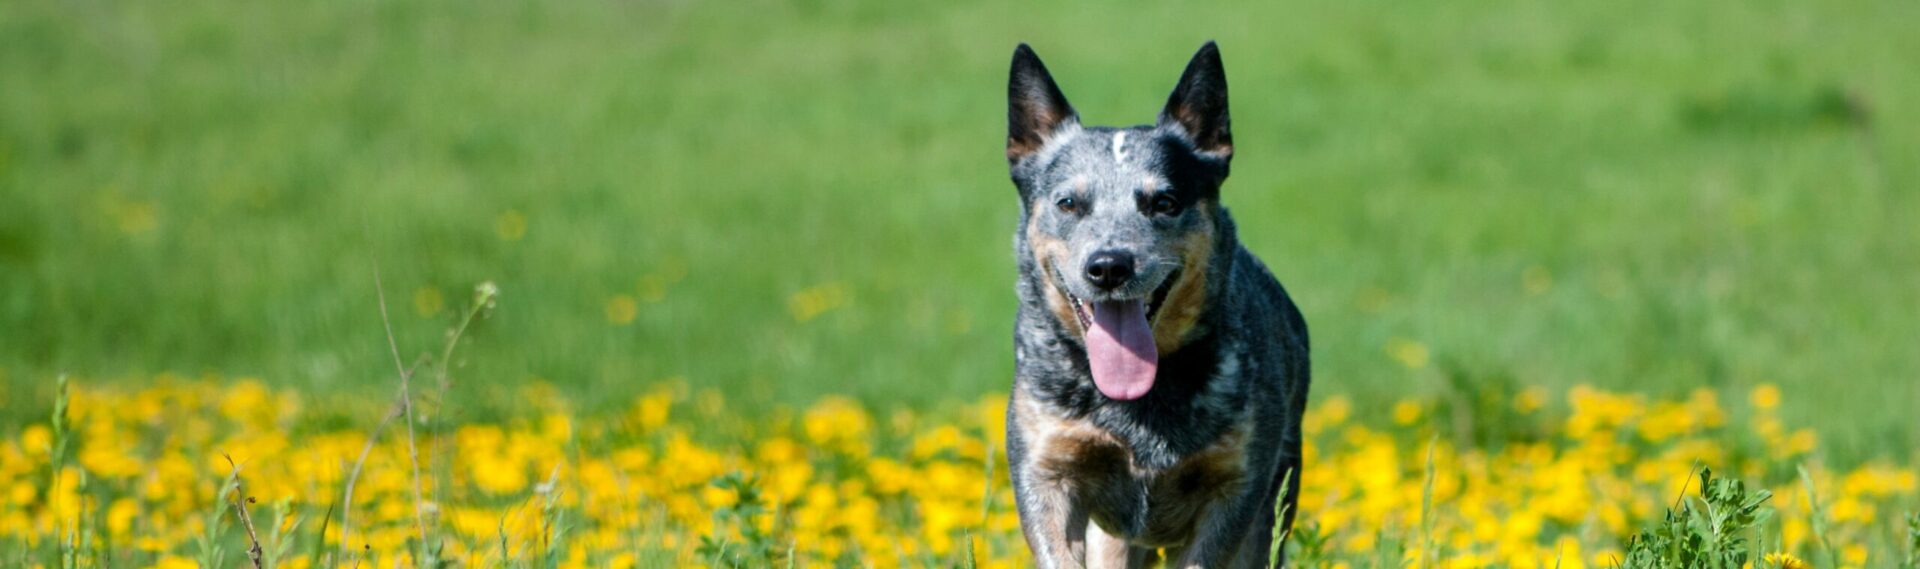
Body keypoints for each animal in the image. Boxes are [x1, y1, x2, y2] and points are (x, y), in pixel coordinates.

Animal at [1006, 42, 1305, 565]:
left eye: (1164, 202)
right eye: (1068, 203)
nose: (1109, 266)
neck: (1136, 409)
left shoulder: (1236, 487)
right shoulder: (1046, 469)